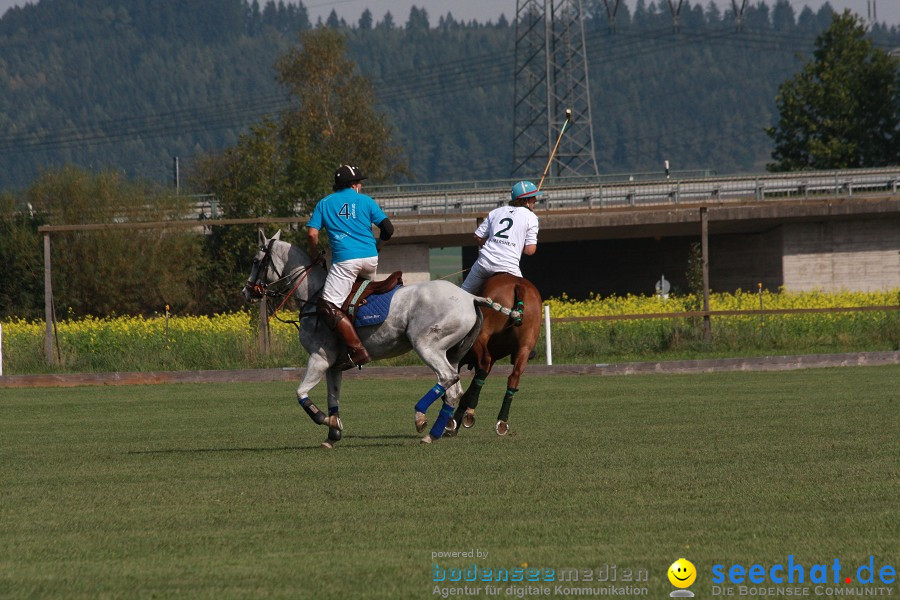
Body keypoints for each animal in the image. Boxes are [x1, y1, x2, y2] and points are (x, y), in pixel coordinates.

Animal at [243, 230, 496, 446]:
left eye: (255, 261)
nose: (247, 291)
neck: (312, 297)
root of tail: (471, 298)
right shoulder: (334, 365)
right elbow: (333, 398)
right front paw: (333, 433)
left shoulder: (320, 358)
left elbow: (301, 393)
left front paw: (325, 420)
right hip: (452, 352)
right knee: (454, 388)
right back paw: (433, 434)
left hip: (426, 344)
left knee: (447, 378)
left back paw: (420, 416)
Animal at [450, 274, 540, 436]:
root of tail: (518, 285)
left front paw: (453, 423)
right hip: (525, 345)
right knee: (513, 377)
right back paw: (502, 422)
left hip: (481, 335)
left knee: (484, 364)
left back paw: (469, 415)